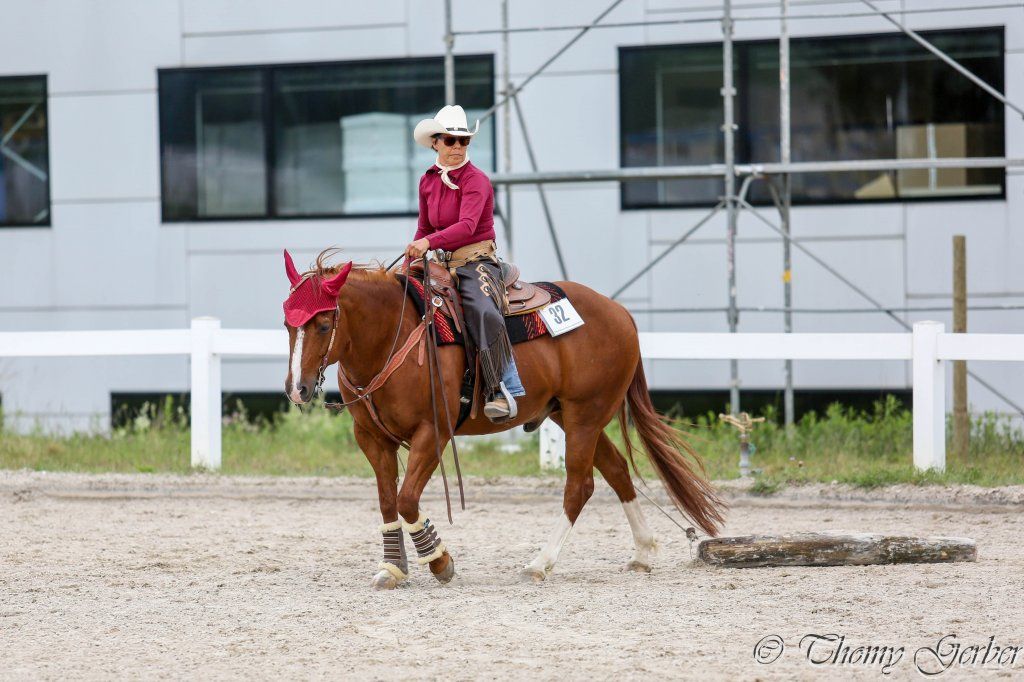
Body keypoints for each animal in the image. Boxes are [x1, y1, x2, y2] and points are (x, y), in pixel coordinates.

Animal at [283, 248, 726, 589]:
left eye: (324, 324)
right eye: (288, 324)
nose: (297, 389)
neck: (393, 334)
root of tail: (620, 313)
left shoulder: (433, 432)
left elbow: (407, 499)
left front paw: (441, 562)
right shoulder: (371, 438)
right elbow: (388, 501)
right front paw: (393, 568)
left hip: (585, 415)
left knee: (579, 486)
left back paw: (540, 563)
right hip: (571, 415)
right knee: (617, 470)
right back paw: (643, 553)